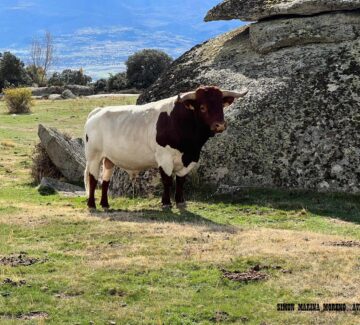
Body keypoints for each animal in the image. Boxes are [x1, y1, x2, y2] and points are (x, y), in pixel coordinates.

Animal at [84, 85, 248, 209]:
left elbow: (181, 181)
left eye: (221, 106)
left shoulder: (190, 159)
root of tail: (97, 111)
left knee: (105, 181)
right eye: (202, 107)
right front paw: (166, 203)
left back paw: (105, 204)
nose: (220, 125)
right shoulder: (164, 158)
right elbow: (168, 180)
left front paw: (180, 202)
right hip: (94, 156)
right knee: (93, 179)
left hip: (108, 159)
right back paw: (92, 205)